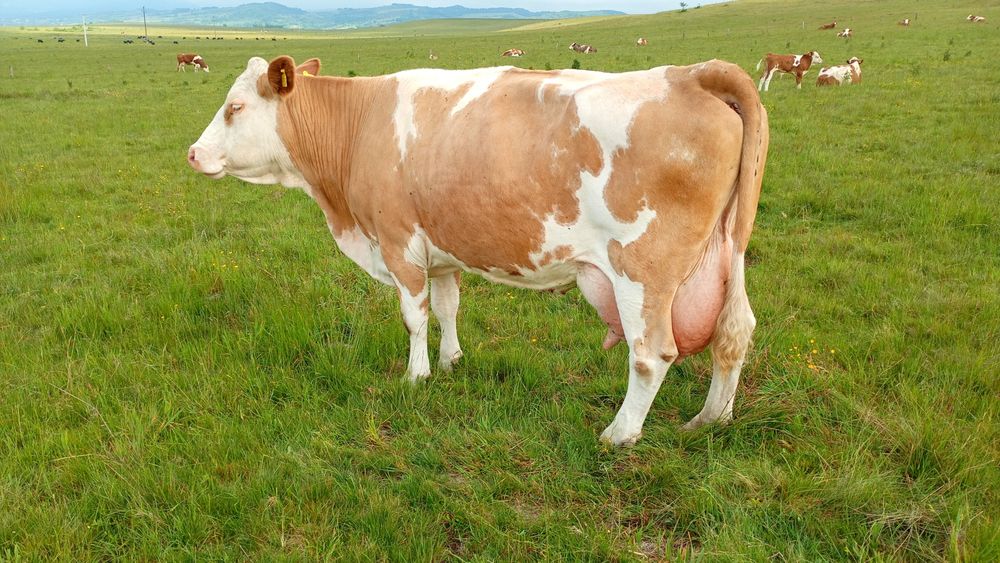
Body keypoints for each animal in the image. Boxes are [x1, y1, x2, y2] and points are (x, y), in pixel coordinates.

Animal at [187, 55, 769, 446]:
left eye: (234, 107)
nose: (192, 153)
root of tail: (692, 73)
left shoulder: (399, 243)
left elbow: (414, 316)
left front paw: (416, 375)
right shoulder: (441, 250)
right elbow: (447, 308)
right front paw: (451, 361)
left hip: (642, 270)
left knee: (652, 354)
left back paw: (620, 433)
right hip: (728, 254)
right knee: (734, 333)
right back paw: (710, 419)